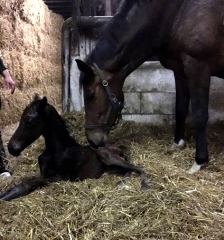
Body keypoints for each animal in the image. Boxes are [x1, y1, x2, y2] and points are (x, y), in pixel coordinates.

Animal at [75, 0, 224, 172]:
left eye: (90, 95)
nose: (92, 141)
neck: (177, 13)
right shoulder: (180, 71)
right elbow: (180, 108)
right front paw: (177, 143)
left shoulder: (198, 68)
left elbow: (200, 116)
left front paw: (199, 161)